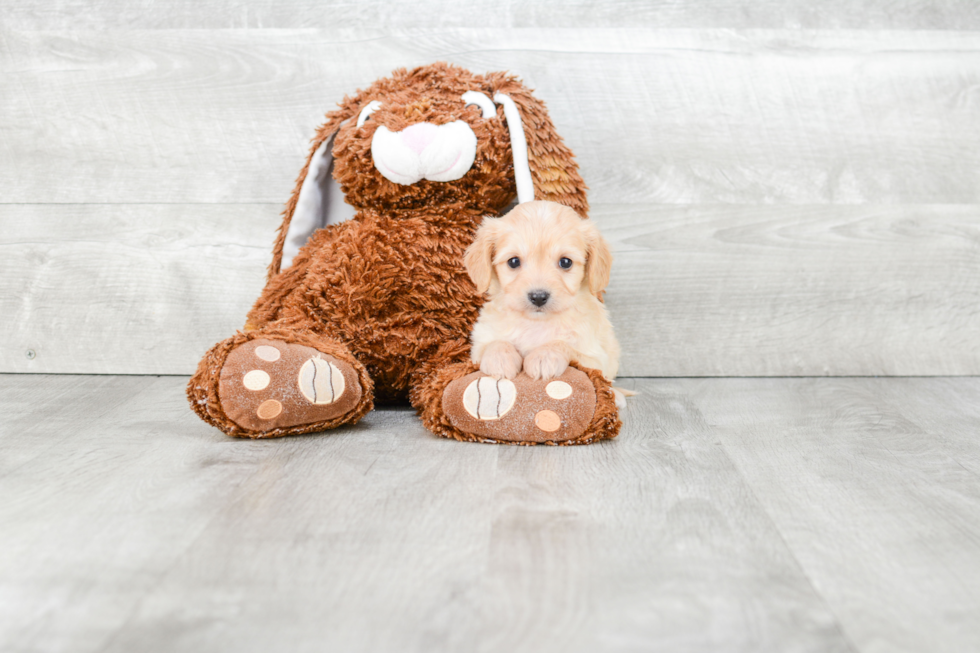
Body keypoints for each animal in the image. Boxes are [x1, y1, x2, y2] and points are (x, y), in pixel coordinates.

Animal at [464, 199, 624, 402]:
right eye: (513, 261)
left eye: (565, 262)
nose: (538, 297)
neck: (536, 323)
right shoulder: (478, 346)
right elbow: (494, 343)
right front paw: (499, 359)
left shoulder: (596, 358)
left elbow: (564, 344)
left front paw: (543, 357)